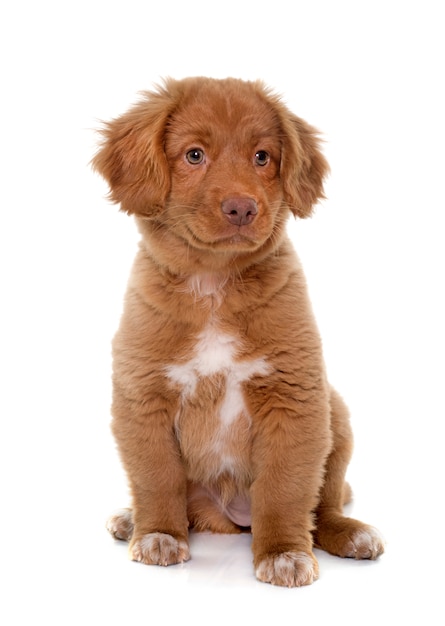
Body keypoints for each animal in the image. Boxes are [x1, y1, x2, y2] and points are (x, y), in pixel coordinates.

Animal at [92, 78, 384, 584]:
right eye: (194, 155)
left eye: (262, 157)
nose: (242, 208)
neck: (214, 284)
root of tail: (225, 518)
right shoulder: (144, 398)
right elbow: (157, 478)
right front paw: (159, 533)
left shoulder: (294, 398)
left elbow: (285, 489)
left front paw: (284, 552)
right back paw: (133, 518)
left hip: (337, 415)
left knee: (322, 504)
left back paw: (349, 533)